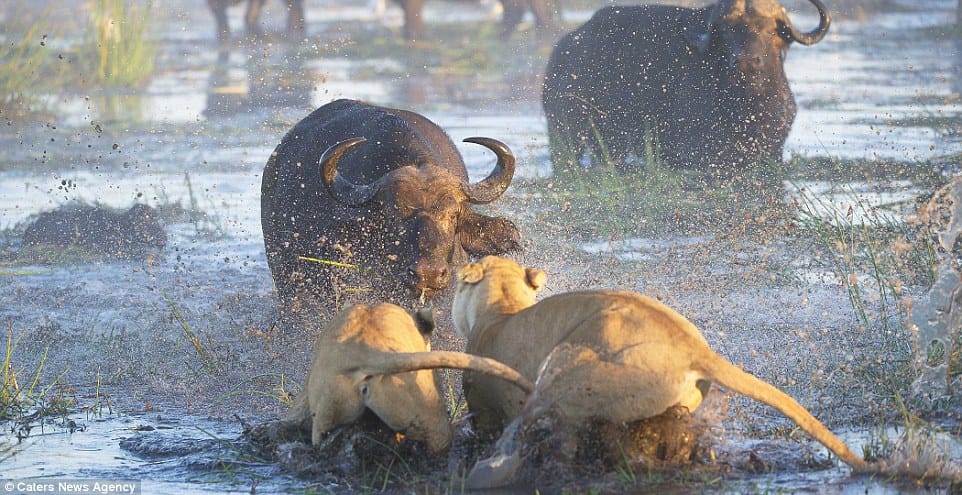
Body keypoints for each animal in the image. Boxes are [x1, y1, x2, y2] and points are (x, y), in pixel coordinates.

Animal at [541, 0, 831, 176]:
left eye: (769, 29)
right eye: (727, 31)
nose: (746, 61)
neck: (748, 105)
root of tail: (563, 51)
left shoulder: (772, 151)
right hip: (566, 137)